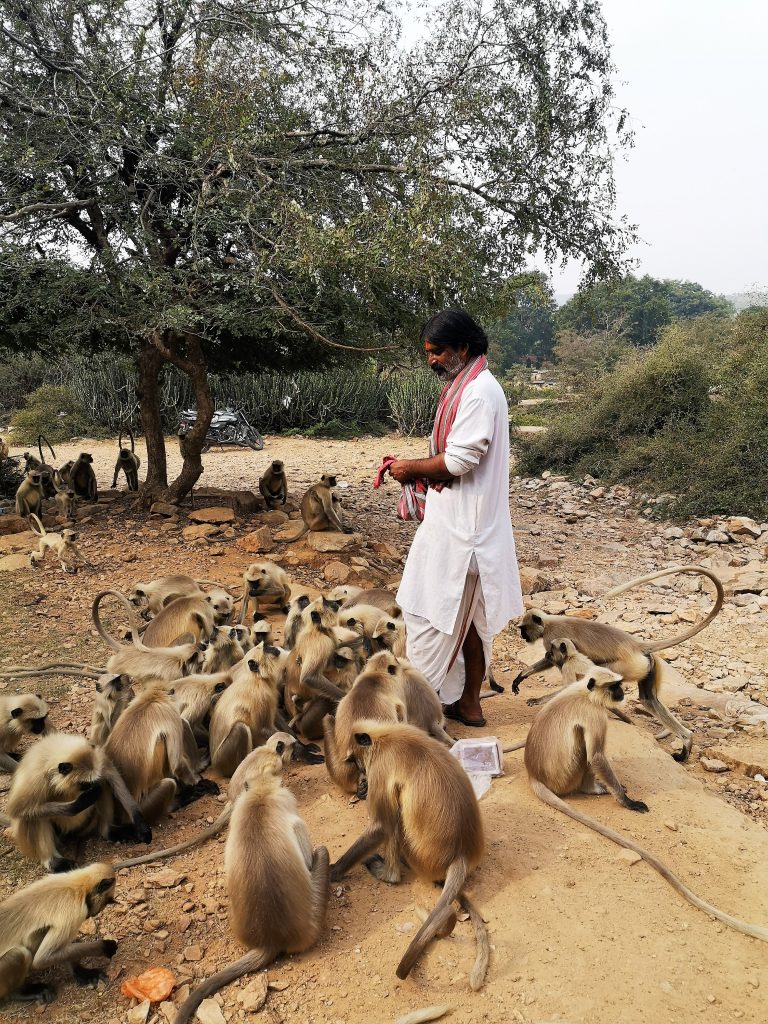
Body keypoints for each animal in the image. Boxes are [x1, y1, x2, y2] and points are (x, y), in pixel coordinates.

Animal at [0, 860, 117, 1003]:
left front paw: (81, 971)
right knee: (19, 954)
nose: (94, 913)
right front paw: (105, 947)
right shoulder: (75, 911)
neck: (77, 886)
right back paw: (18, 993)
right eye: (106, 901)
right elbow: (43, 958)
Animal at [333, 720, 489, 991]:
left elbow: (382, 827)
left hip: (419, 856)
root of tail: (462, 853)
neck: (384, 736)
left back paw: (389, 874)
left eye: (354, 760)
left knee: (394, 816)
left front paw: (330, 872)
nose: (361, 777)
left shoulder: (381, 767)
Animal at [514, 565, 724, 765]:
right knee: (648, 699)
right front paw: (521, 676)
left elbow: (558, 669)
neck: (548, 622)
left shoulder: (551, 640)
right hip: (647, 666)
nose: (523, 636)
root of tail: (636, 645)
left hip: (626, 666)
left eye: (524, 629)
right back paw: (686, 741)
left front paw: (537, 697)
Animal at [528, 671, 768, 942]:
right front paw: (627, 801)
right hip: (568, 777)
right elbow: (597, 756)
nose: (622, 692)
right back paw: (594, 788)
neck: (585, 693)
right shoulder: (595, 714)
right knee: (585, 747)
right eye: (614, 687)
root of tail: (533, 774)